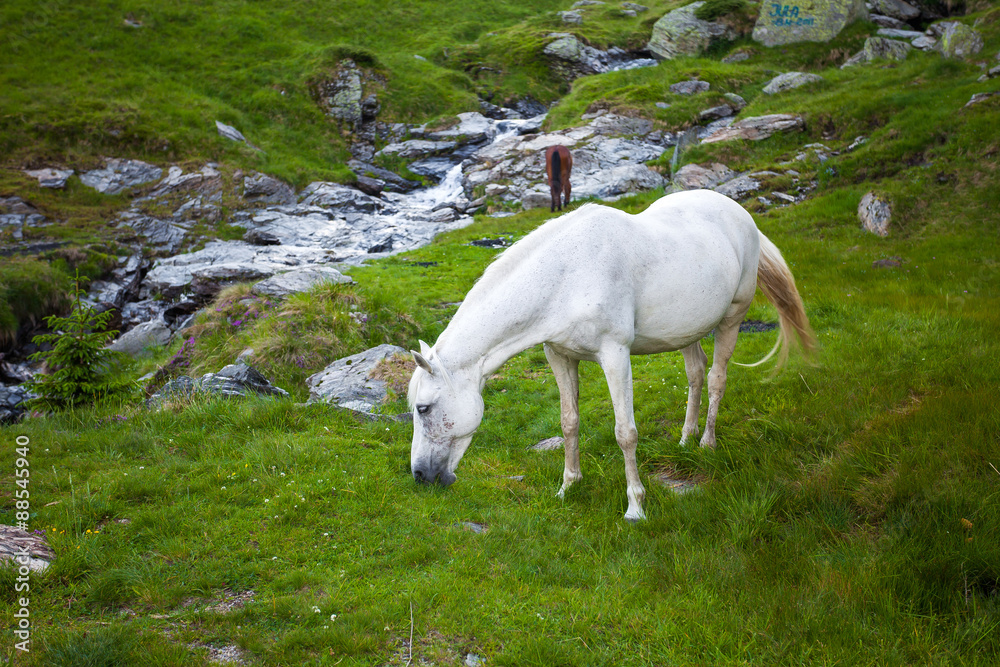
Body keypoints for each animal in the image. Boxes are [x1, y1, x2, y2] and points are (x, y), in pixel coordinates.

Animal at [408, 190, 815, 521]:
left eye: (423, 408)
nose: (419, 475)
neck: (565, 277)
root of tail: (739, 213)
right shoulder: (559, 356)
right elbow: (569, 423)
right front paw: (568, 487)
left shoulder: (616, 356)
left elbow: (625, 432)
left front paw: (635, 507)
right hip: (689, 329)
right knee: (696, 373)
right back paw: (686, 440)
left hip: (731, 318)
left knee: (717, 378)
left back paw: (707, 444)